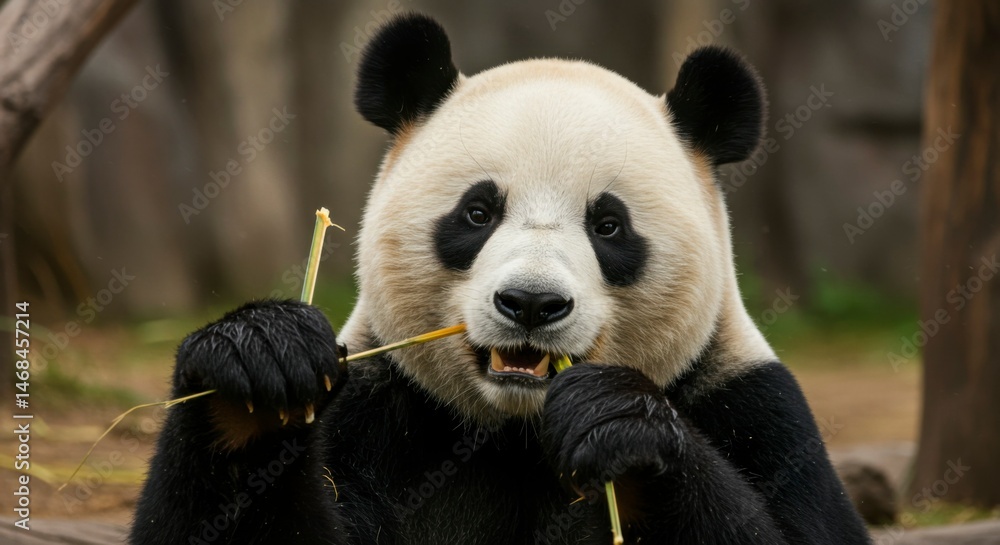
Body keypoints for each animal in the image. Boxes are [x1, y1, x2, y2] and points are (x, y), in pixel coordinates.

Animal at [131, 13, 870, 545]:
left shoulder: (755, 408)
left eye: (609, 226)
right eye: (478, 212)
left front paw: (617, 425)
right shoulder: (378, 412)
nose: (532, 304)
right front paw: (256, 366)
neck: (517, 434)